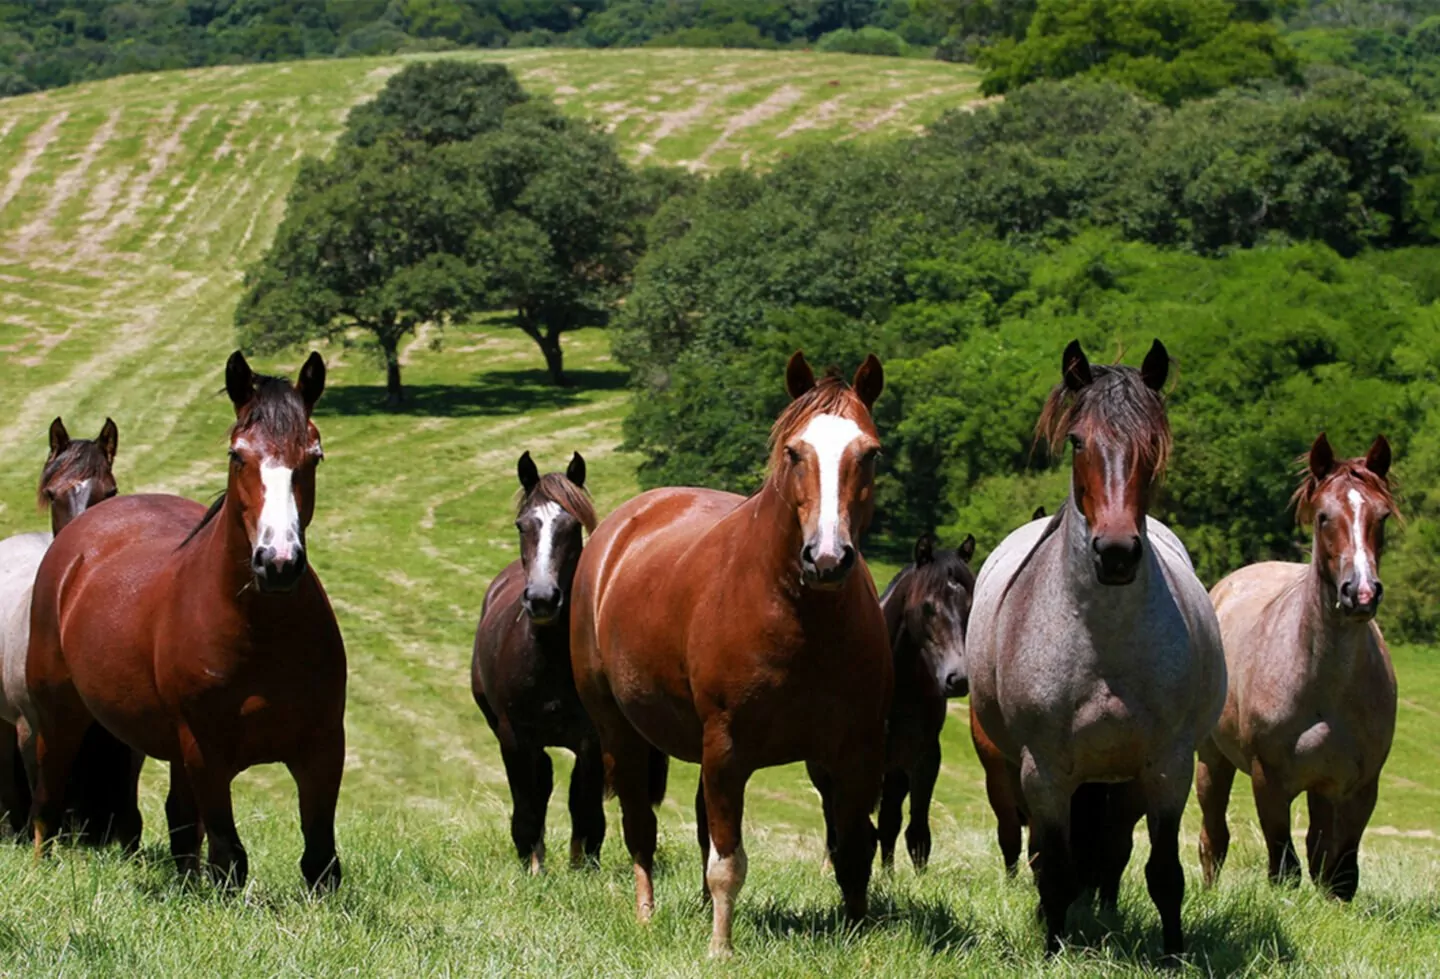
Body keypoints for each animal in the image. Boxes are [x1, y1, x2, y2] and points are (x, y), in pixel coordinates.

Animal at [26, 351, 346, 890]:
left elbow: (320, 860)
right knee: (47, 800)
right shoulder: (206, 752)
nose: (278, 563)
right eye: (238, 456)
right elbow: (229, 856)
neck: (261, 633)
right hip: (57, 716)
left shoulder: (323, 748)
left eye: (315, 456)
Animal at [471, 450, 605, 874]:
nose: (543, 599)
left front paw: (582, 867)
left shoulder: (592, 740)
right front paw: (532, 866)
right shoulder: (514, 737)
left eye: (572, 525)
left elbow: (584, 803)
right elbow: (528, 804)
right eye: (522, 525)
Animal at [569, 352, 891, 957]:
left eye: (870, 452)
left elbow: (856, 848)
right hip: (619, 731)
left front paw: (859, 935)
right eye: (794, 451)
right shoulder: (727, 748)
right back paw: (647, 915)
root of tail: (619, 530)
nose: (827, 558)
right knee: (640, 827)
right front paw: (721, 947)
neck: (800, 618)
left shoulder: (856, 750)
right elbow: (729, 863)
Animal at [966, 339, 1226, 958]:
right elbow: (1055, 866)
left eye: (1152, 442)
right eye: (1078, 440)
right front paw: (1052, 946)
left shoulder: (1166, 767)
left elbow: (1163, 873)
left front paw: (1173, 954)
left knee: (1113, 850)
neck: (1103, 639)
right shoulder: (1045, 772)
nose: (1115, 553)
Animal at [1196, 433, 1396, 901]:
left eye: (1381, 515)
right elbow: (1283, 865)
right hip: (1211, 761)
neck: (1326, 684)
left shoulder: (1359, 786)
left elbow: (1340, 870)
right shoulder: (1269, 780)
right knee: (1213, 839)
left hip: (1322, 788)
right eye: (1324, 517)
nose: (1361, 594)